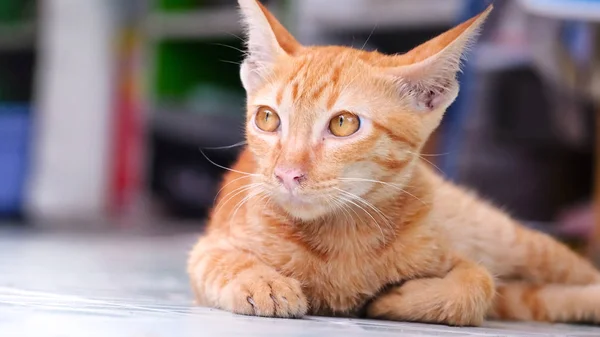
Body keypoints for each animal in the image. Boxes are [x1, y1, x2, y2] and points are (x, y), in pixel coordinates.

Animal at [188, 0, 600, 326]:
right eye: (267, 119)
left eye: (343, 123)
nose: (286, 173)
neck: (345, 236)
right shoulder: (208, 247)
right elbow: (222, 262)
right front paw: (263, 282)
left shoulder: (457, 257)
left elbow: (477, 284)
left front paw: (397, 299)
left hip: (513, 242)